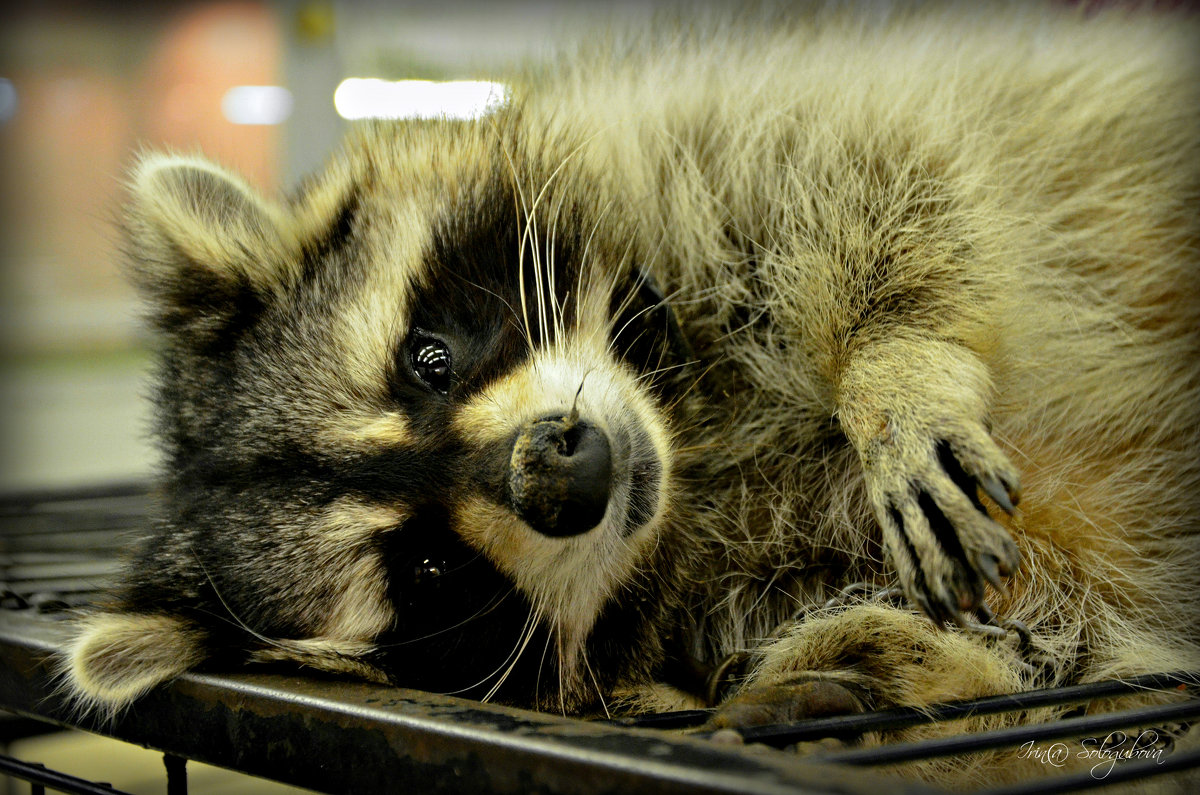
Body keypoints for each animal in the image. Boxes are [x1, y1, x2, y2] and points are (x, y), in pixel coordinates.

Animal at [63, 1, 1200, 792]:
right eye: (430, 569)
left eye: (429, 363)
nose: (566, 474)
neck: (693, 454)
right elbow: (1076, 675)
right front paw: (893, 672)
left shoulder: (685, 152)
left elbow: (875, 167)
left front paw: (894, 366)